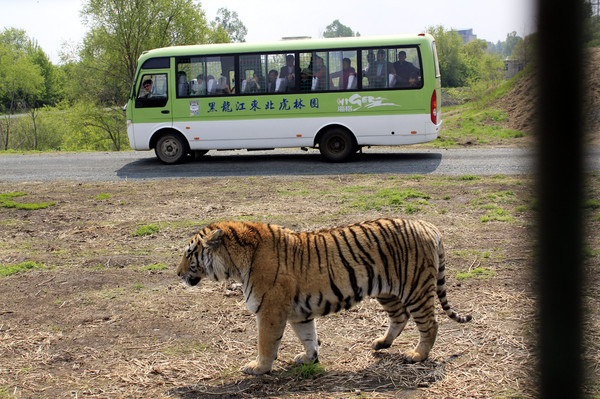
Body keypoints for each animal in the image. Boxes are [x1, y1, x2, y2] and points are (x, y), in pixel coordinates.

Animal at [176, 219, 472, 376]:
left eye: (189, 254)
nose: (177, 273)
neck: (236, 262)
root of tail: (427, 224)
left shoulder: (270, 310)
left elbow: (266, 343)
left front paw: (258, 367)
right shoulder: (298, 313)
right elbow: (308, 337)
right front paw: (309, 358)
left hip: (415, 289)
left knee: (430, 324)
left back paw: (417, 355)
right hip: (387, 291)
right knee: (400, 316)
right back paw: (381, 343)